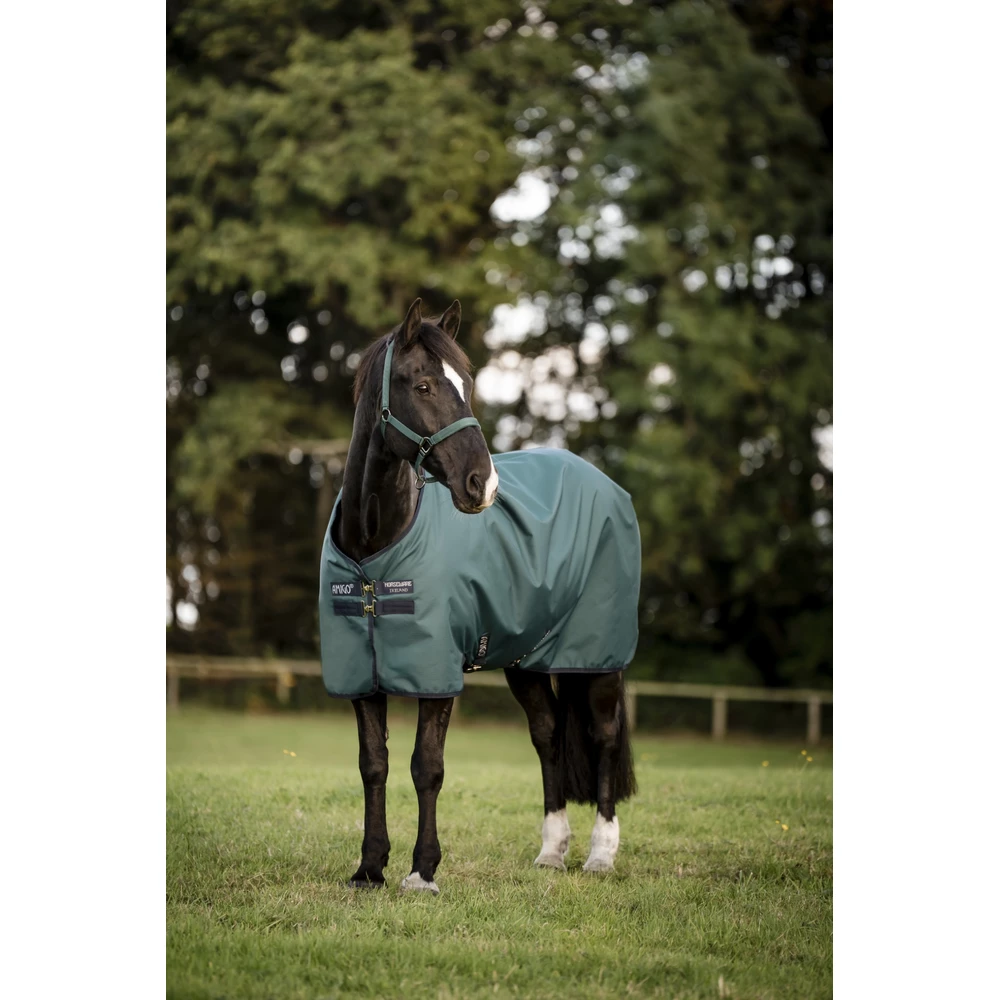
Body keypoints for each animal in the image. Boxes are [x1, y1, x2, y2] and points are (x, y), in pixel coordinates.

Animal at [319, 297, 640, 894]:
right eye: (422, 385)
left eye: (466, 384)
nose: (482, 485)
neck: (376, 548)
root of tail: (604, 483)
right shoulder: (360, 676)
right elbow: (373, 764)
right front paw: (370, 868)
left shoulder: (436, 672)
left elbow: (427, 766)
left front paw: (422, 871)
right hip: (526, 660)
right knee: (548, 735)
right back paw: (551, 851)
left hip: (598, 657)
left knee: (603, 736)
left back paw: (601, 854)